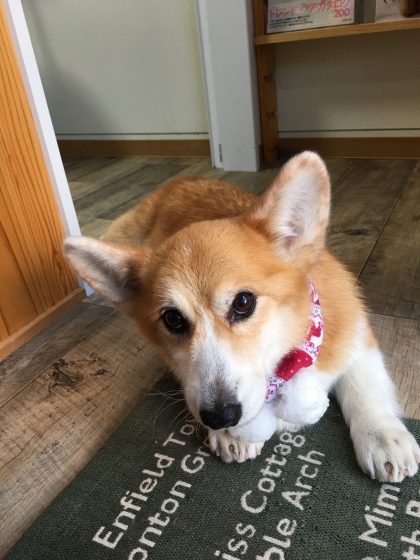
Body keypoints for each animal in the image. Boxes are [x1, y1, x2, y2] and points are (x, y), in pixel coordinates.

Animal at [64, 151, 420, 483]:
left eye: (244, 302)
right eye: (173, 319)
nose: (220, 418)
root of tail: (182, 180)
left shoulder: (354, 333)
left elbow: (365, 385)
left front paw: (383, 437)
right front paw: (231, 436)